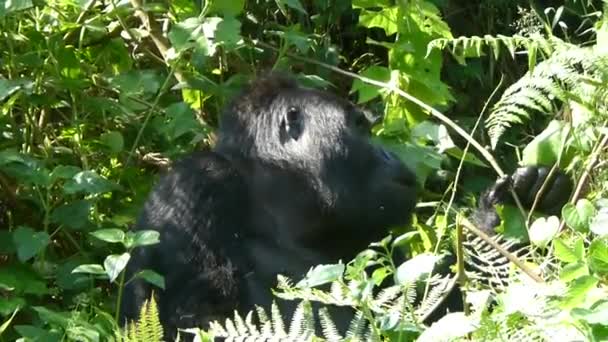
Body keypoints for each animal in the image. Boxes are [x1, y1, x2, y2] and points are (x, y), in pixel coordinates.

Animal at [121, 73, 572, 340]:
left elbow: (435, 312)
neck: (275, 213)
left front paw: (512, 214)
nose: (391, 154)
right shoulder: (194, 185)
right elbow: (189, 319)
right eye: (359, 128)